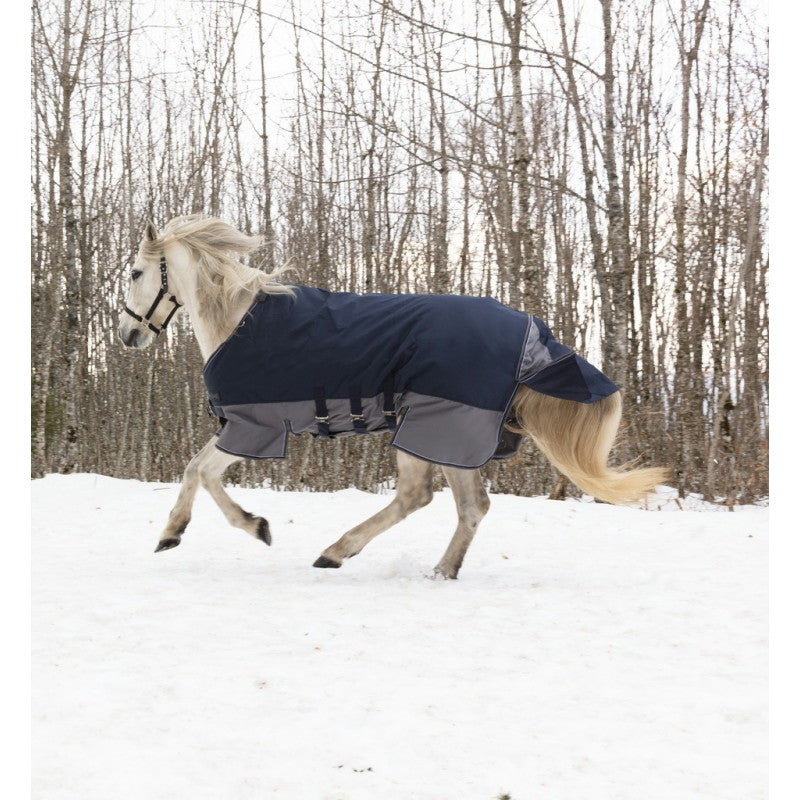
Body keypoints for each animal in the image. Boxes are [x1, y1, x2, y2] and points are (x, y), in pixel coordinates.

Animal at [118, 215, 667, 579]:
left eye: (135, 273)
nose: (127, 335)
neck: (238, 321)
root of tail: (531, 336)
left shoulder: (252, 428)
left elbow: (198, 471)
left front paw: (203, 531)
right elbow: (201, 472)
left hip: (434, 427)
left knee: (422, 497)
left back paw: (339, 552)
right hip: (447, 435)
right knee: (465, 506)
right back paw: (438, 570)